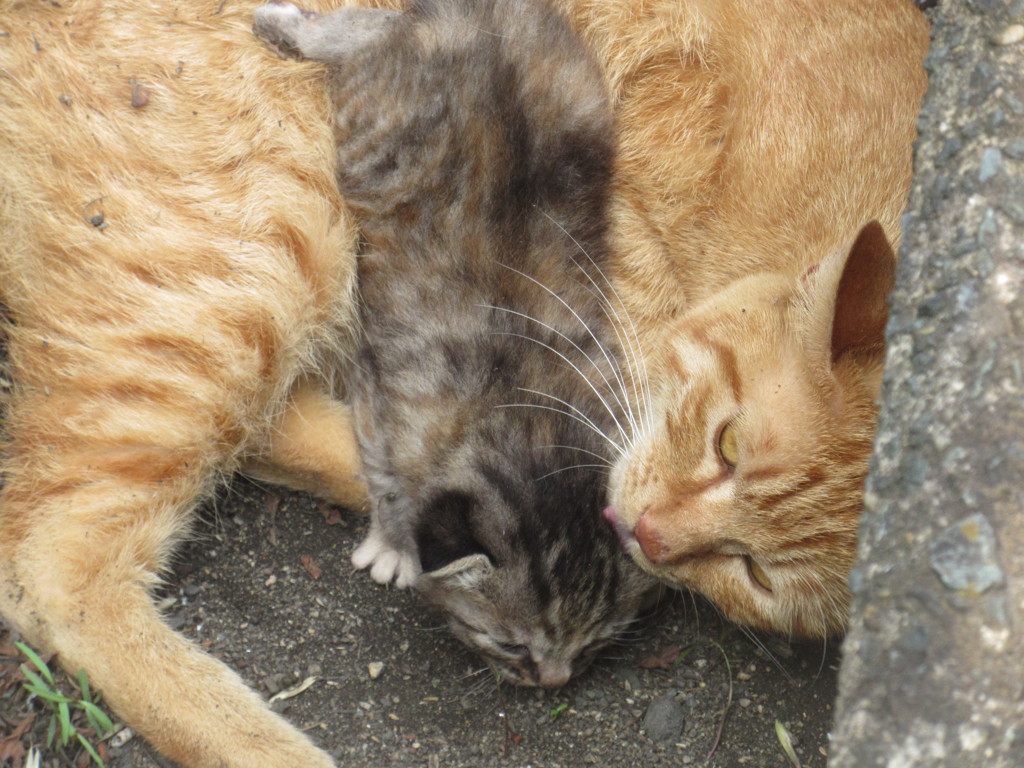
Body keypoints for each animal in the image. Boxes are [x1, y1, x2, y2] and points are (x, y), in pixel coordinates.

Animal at [253, 0, 655, 688]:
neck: (530, 415)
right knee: (355, 34)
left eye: (594, 643)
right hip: (369, 107)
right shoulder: (379, 383)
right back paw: (287, 28)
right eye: (510, 644)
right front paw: (393, 545)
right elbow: (387, 477)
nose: (554, 683)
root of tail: (473, 17)